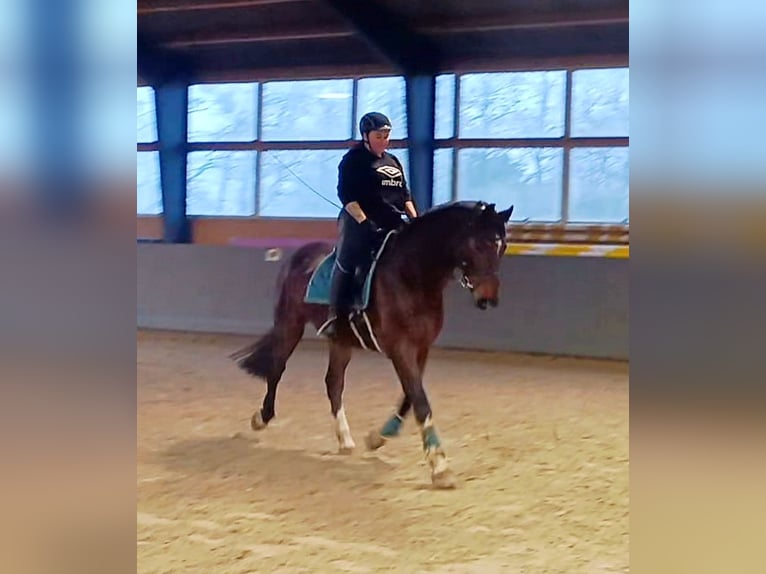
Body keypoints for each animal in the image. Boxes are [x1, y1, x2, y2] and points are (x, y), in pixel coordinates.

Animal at [230, 200, 514, 488]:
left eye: (502, 246)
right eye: (478, 245)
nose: (488, 298)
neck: (412, 275)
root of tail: (299, 255)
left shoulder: (421, 348)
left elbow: (410, 397)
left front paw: (379, 437)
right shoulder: (400, 349)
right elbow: (420, 401)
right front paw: (439, 466)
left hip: (341, 341)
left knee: (333, 383)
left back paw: (345, 440)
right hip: (290, 324)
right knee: (277, 369)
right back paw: (261, 418)